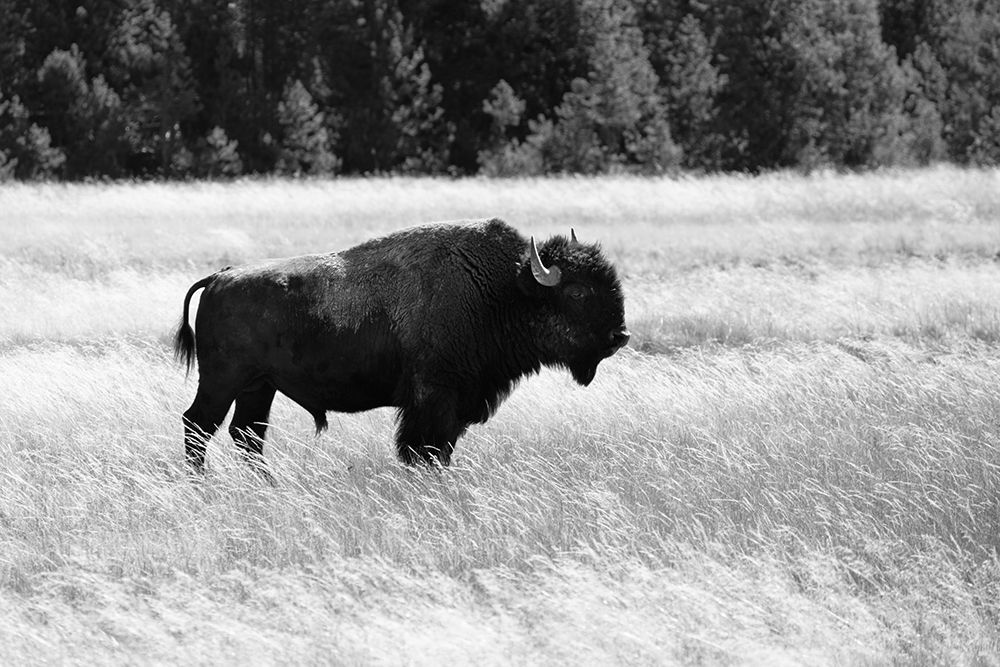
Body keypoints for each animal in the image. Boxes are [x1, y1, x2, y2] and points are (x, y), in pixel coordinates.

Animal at [173, 218, 629, 477]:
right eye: (577, 292)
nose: (619, 336)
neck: (500, 290)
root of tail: (220, 277)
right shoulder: (433, 399)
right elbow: (425, 450)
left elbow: (440, 450)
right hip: (222, 380)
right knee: (198, 425)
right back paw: (203, 484)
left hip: (259, 386)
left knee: (246, 435)